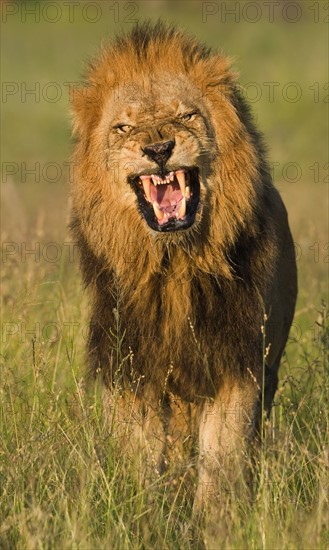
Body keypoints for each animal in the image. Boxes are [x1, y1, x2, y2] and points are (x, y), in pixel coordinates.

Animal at [69, 20, 298, 512]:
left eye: (187, 116)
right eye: (124, 127)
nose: (158, 148)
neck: (174, 264)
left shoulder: (238, 362)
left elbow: (222, 457)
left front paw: (217, 518)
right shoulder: (130, 365)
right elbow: (140, 456)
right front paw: (144, 512)